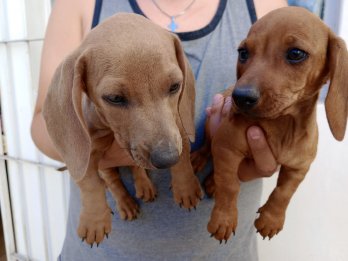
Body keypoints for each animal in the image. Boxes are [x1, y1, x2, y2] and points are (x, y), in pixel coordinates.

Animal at [42, 13, 204, 245]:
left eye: (175, 86)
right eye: (115, 98)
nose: (166, 159)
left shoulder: (179, 127)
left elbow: (183, 160)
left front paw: (186, 187)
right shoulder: (86, 154)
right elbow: (90, 183)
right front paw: (94, 220)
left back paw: (144, 185)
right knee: (112, 180)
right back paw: (125, 202)